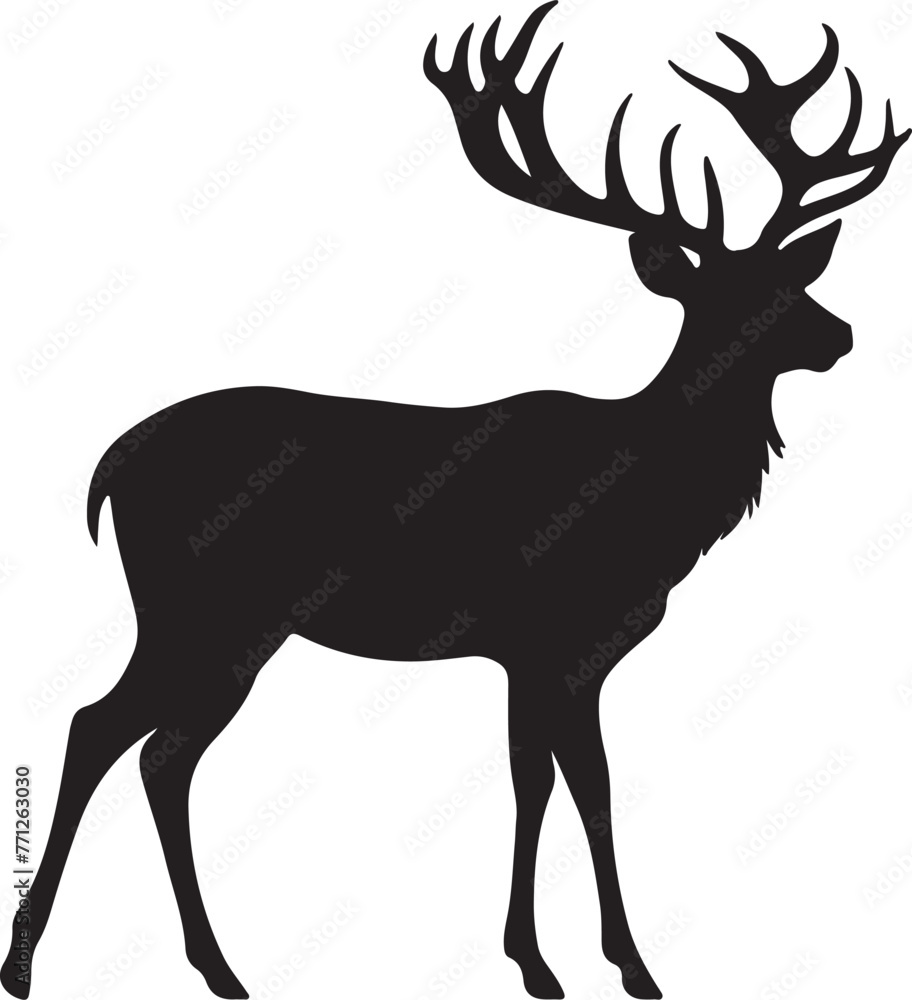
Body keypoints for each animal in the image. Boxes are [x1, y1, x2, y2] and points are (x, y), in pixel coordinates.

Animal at [2, 3, 908, 999]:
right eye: (731, 295)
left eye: (795, 278)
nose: (841, 334)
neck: (650, 501)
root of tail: (109, 467)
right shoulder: (550, 640)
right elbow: (569, 787)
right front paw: (593, 965)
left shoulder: (548, 656)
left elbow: (557, 785)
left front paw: (571, 961)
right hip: (201, 608)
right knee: (105, 729)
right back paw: (34, 963)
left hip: (229, 628)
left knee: (156, 752)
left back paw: (214, 968)